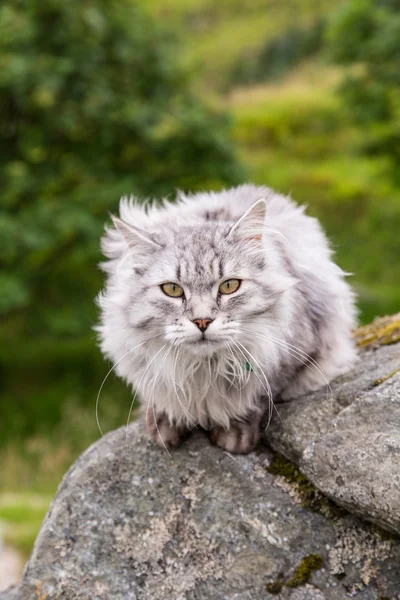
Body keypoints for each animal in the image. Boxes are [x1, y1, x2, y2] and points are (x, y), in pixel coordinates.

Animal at [97, 185, 356, 452]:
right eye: (173, 289)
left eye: (229, 286)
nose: (202, 321)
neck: (204, 368)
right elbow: (158, 394)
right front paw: (164, 423)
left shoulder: (294, 352)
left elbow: (259, 395)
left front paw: (235, 432)